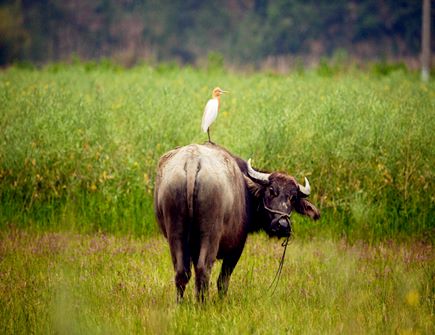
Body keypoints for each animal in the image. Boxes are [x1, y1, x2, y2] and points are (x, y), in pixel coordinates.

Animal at [154, 143, 320, 304]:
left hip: (176, 232)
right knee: (204, 269)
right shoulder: (236, 248)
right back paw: (203, 305)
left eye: (293, 198)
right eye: (271, 191)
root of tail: (192, 161)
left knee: (181, 272)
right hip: (210, 234)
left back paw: (181, 304)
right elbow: (223, 280)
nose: (283, 225)